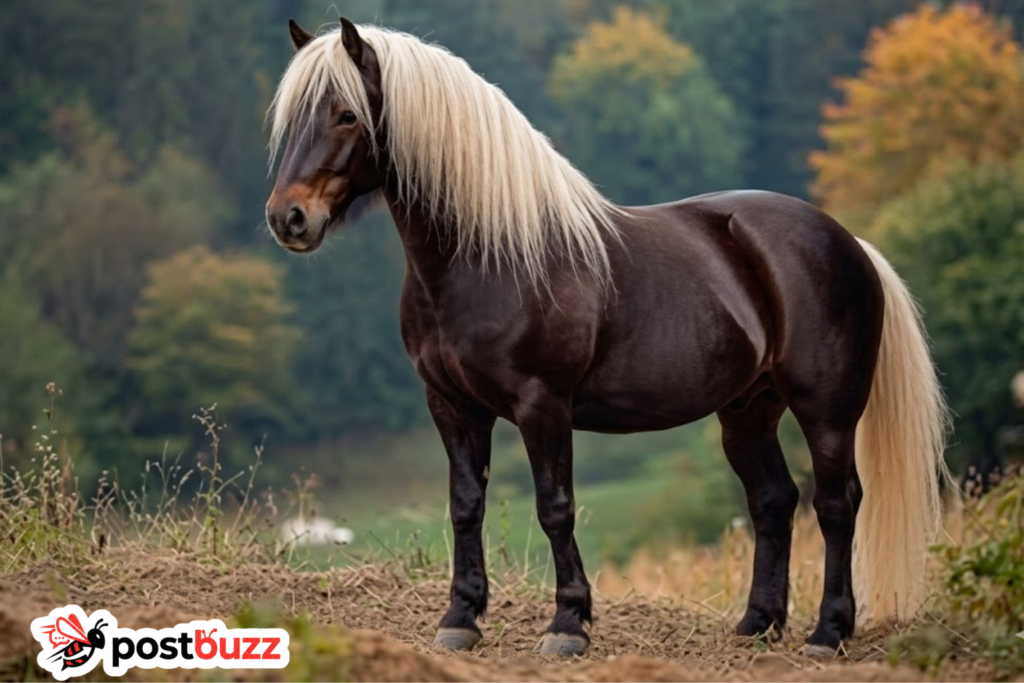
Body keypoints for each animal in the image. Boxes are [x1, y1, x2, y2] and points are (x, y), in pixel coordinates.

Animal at [264, 18, 951, 657]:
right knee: (773, 501)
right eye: (291, 118)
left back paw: (827, 633)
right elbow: (465, 505)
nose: (288, 219)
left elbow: (555, 506)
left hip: (826, 410)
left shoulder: (543, 405)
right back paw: (756, 625)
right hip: (747, 410)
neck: (488, 257)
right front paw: (460, 620)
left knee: (836, 504)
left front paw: (568, 625)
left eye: (346, 114)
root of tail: (846, 240)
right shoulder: (452, 406)